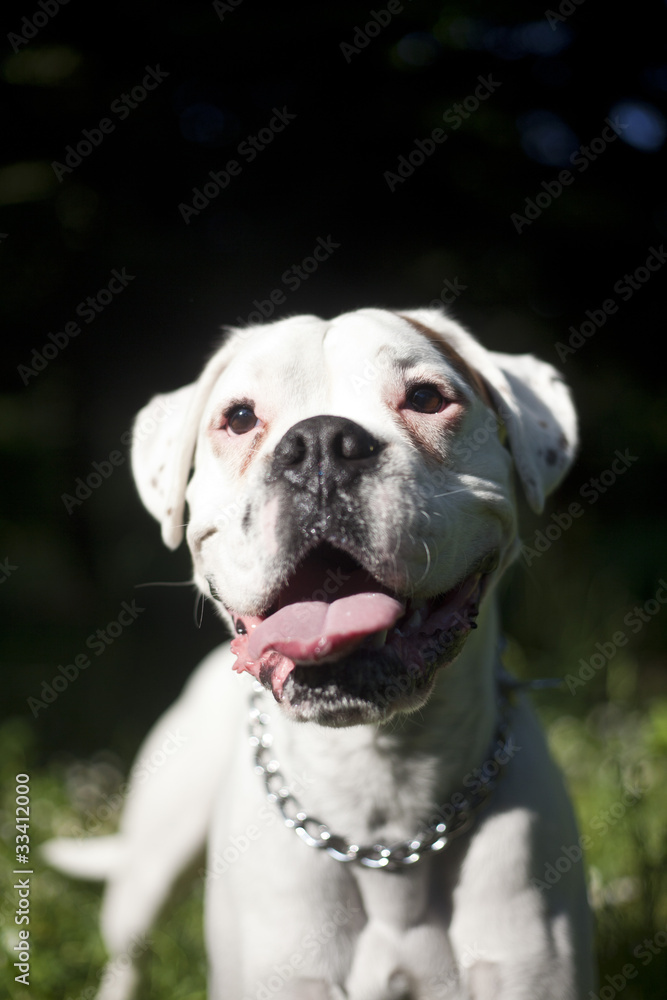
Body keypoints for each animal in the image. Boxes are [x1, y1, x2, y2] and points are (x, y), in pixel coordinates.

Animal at [43, 308, 596, 996]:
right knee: (128, 953)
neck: (381, 794)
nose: (322, 443)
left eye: (426, 398)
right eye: (240, 417)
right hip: (149, 863)